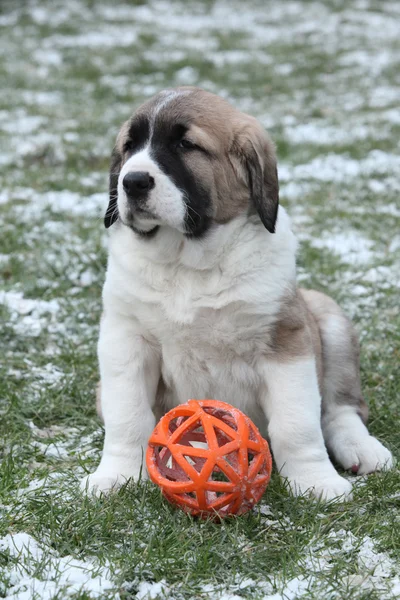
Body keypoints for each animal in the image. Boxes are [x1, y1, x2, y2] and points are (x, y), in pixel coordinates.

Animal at [80, 88, 390, 502]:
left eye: (186, 145)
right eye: (129, 147)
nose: (133, 182)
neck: (189, 266)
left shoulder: (285, 340)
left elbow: (297, 422)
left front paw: (315, 481)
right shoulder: (124, 339)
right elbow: (126, 416)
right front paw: (116, 476)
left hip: (327, 315)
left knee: (341, 409)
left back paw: (361, 446)